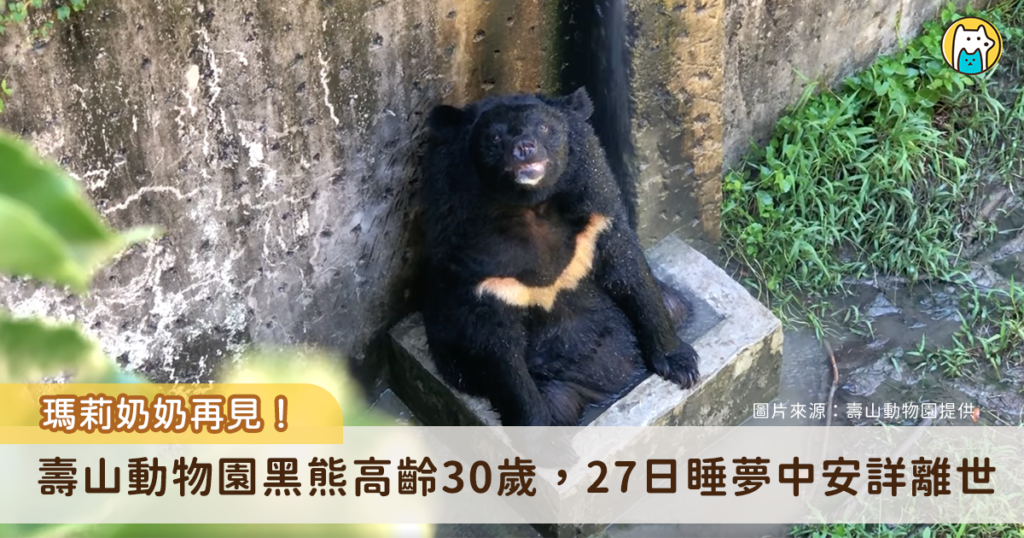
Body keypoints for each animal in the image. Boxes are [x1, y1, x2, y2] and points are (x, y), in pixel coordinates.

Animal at [418, 87, 700, 427]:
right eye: (494, 137)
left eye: (544, 127)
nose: (524, 148)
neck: (531, 206)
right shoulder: (477, 268)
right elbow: (497, 349)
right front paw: (537, 427)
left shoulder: (595, 216)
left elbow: (631, 275)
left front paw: (681, 365)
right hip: (554, 383)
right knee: (558, 400)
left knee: (673, 304)